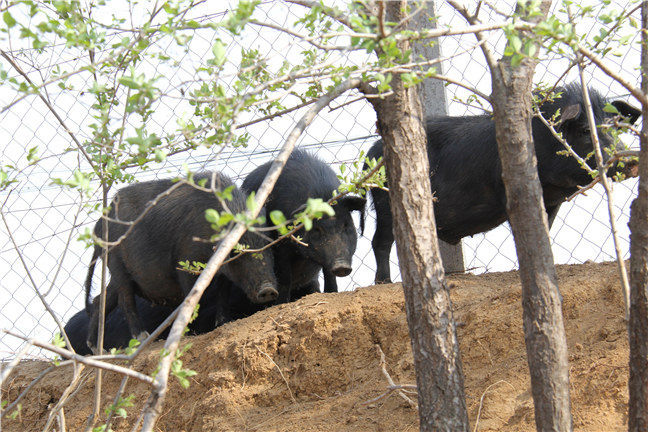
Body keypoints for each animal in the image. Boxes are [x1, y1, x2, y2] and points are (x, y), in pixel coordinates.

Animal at [86, 171, 278, 352]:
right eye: (235, 251)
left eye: (268, 246)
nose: (268, 289)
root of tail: (98, 225)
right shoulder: (186, 260)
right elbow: (193, 296)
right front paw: (193, 332)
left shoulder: (223, 274)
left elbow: (223, 293)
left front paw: (224, 322)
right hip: (116, 262)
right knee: (125, 300)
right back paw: (142, 338)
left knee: (100, 300)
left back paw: (98, 349)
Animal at [242, 150, 364, 298]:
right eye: (317, 229)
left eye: (346, 226)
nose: (342, 266)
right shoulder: (281, 244)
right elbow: (284, 277)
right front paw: (282, 301)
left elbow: (329, 274)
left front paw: (332, 292)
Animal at [364, 82, 644, 284]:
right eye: (586, 131)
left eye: (617, 127)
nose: (631, 161)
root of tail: (371, 154)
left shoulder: (552, 201)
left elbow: (546, 229)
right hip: (386, 204)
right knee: (380, 242)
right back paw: (383, 282)